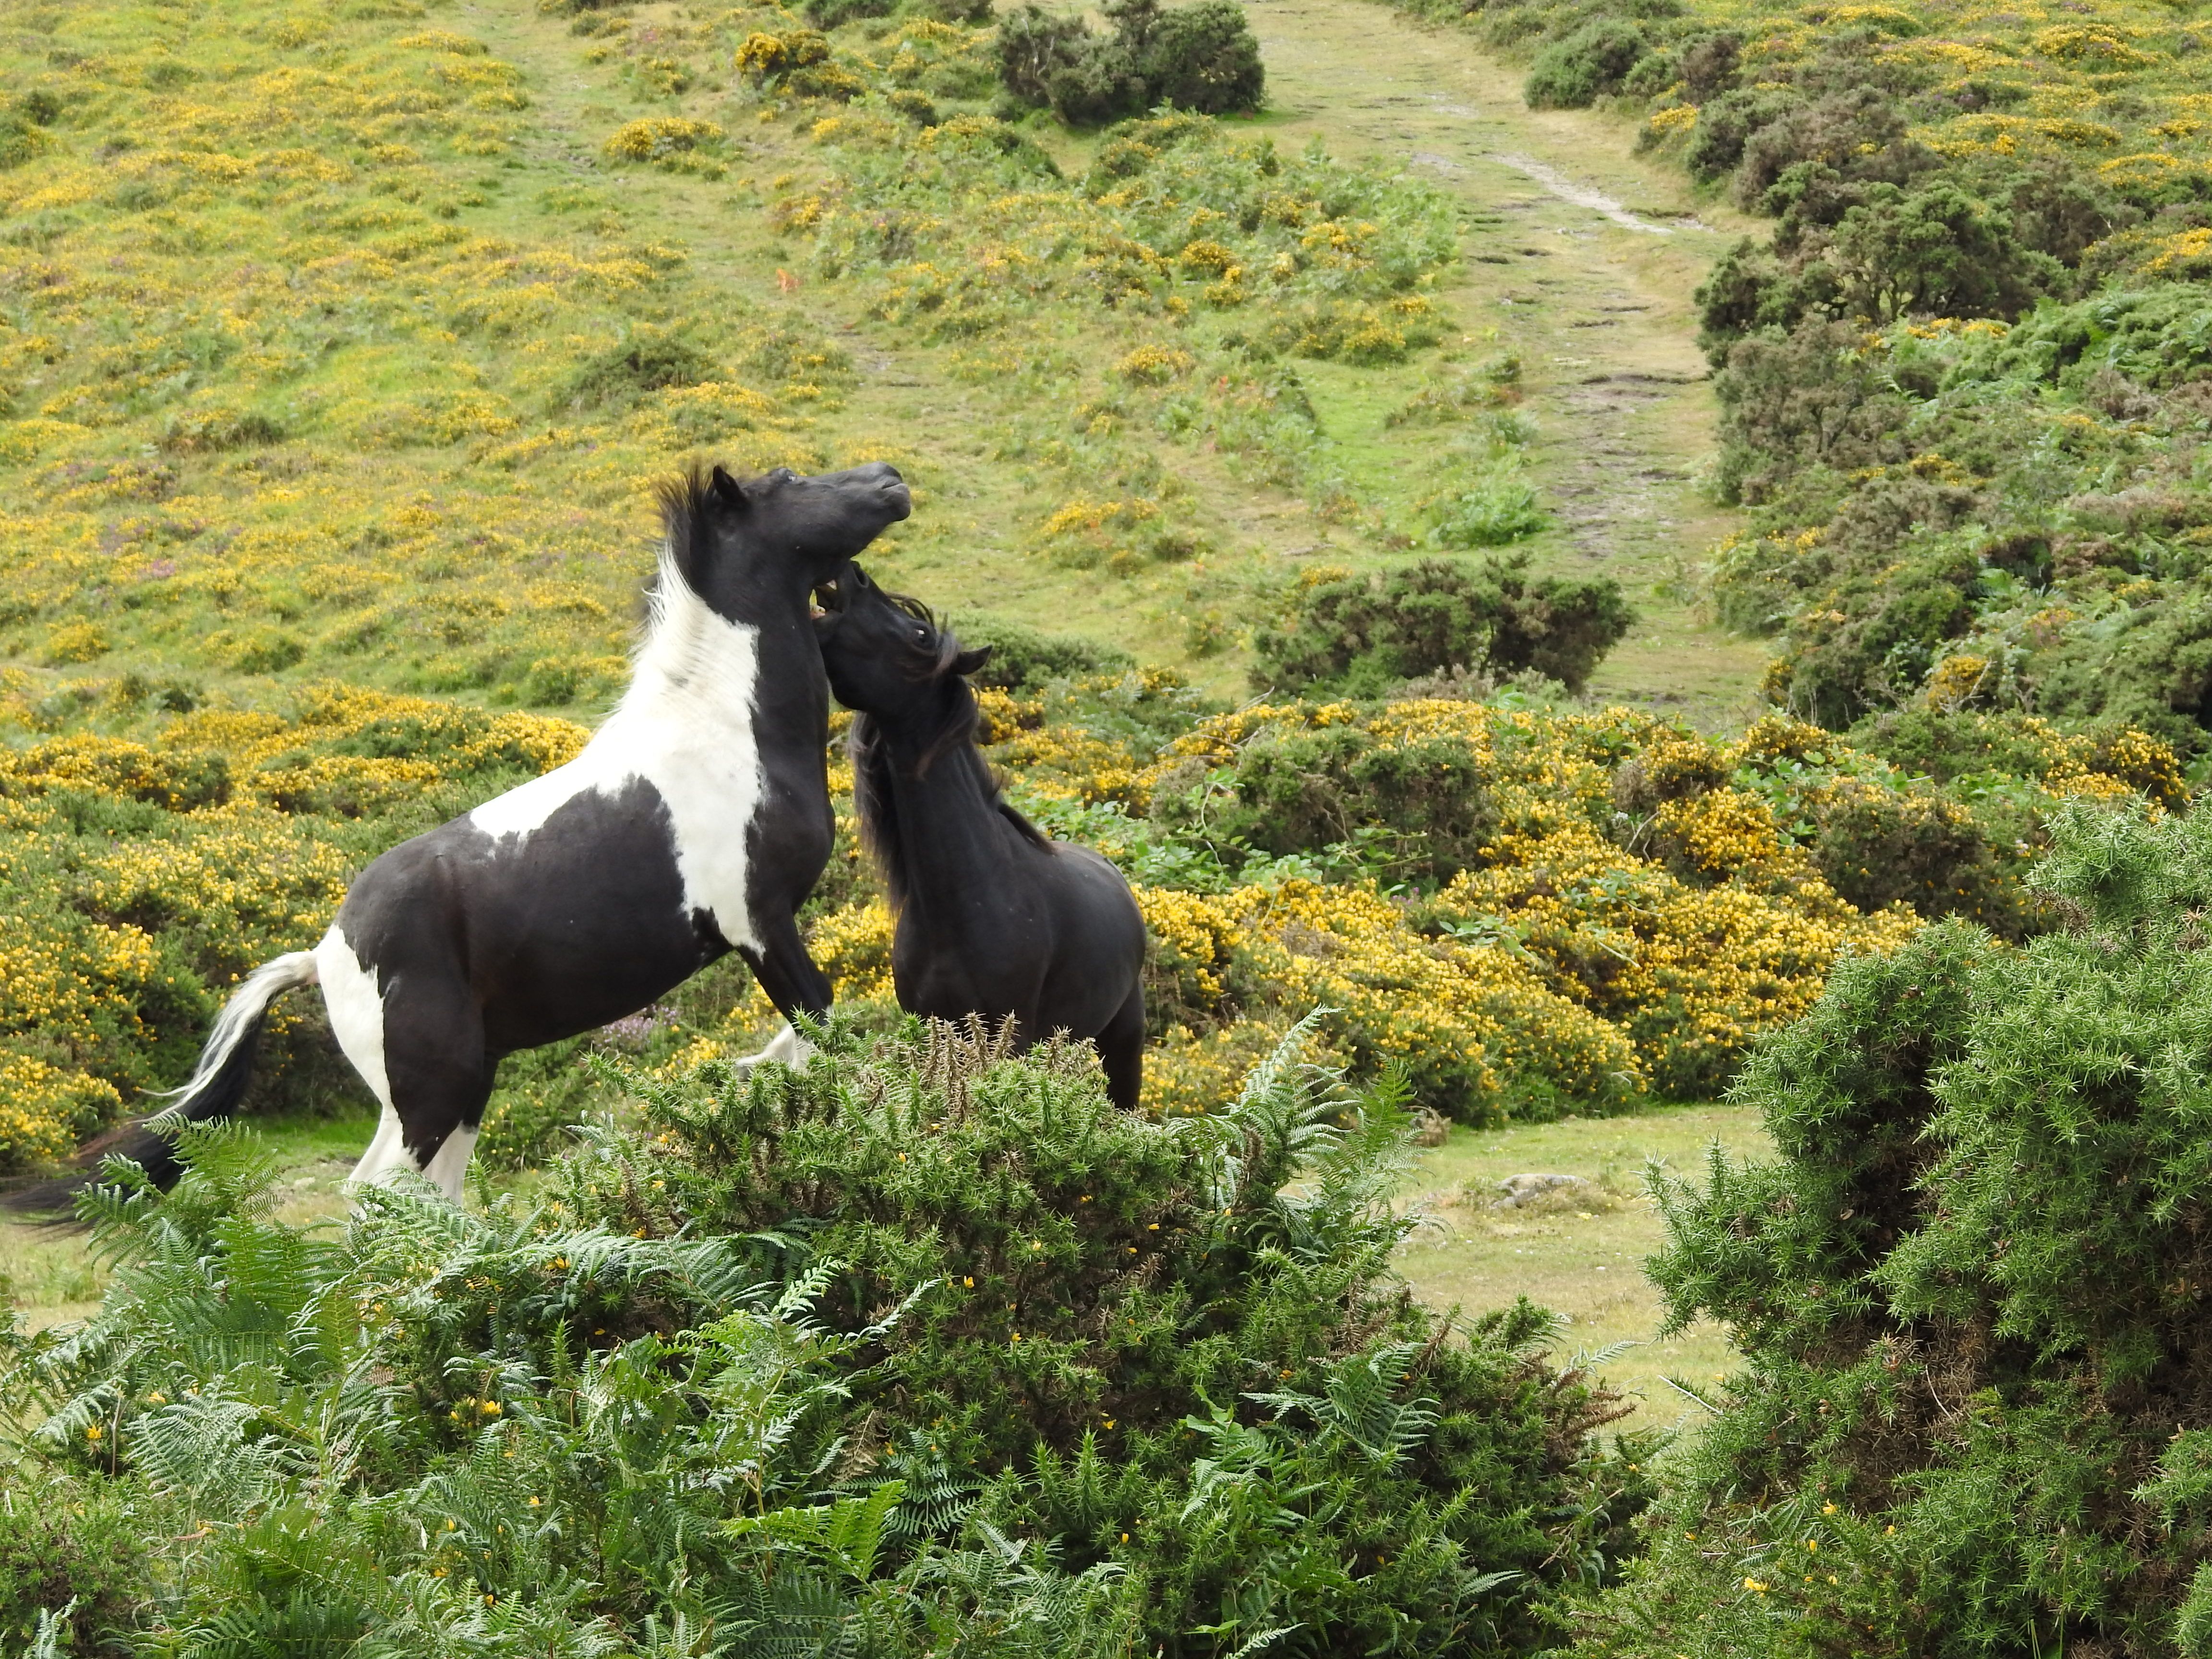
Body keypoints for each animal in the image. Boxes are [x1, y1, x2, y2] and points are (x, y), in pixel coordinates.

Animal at [27, 461, 909, 1208]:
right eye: (790, 483)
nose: (890, 481)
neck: (722, 728)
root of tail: (323, 953)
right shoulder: (758, 925)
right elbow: (821, 1040)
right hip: (431, 1092)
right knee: (374, 1197)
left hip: (463, 1087)